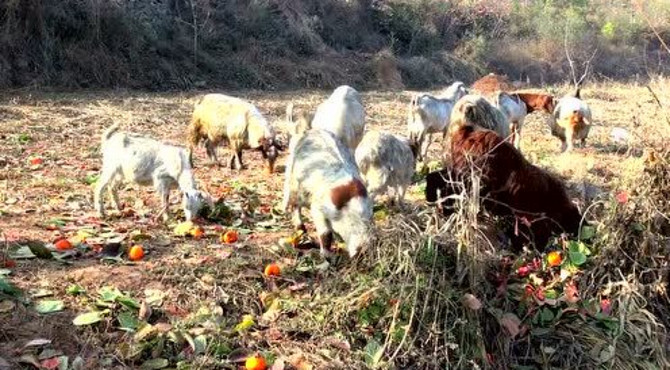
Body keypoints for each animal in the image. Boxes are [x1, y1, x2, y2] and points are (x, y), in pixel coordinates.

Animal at [284, 129, 376, 258]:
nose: (363, 250)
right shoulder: (318, 208)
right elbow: (326, 233)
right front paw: (327, 255)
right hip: (294, 185)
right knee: (295, 205)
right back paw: (301, 230)